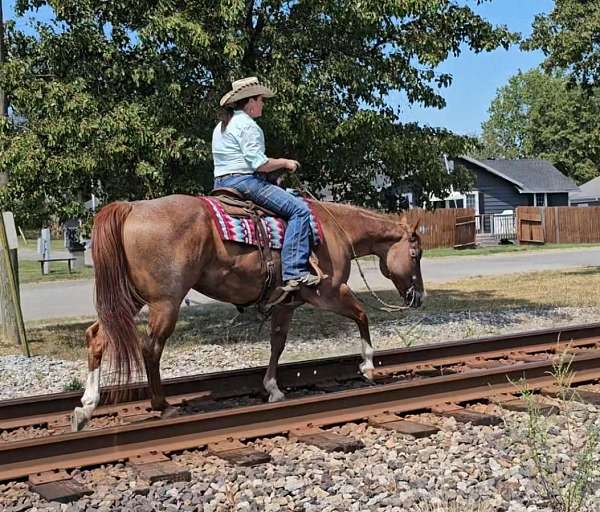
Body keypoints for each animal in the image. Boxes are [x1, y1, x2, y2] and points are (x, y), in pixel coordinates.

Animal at [70, 196, 424, 432]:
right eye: (415, 254)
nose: (418, 296)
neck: (334, 230)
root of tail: (132, 208)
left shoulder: (286, 304)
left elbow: (277, 343)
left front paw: (273, 388)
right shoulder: (330, 293)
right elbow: (362, 315)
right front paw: (368, 366)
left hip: (128, 298)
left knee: (96, 338)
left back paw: (86, 406)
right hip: (164, 302)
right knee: (150, 348)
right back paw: (163, 406)